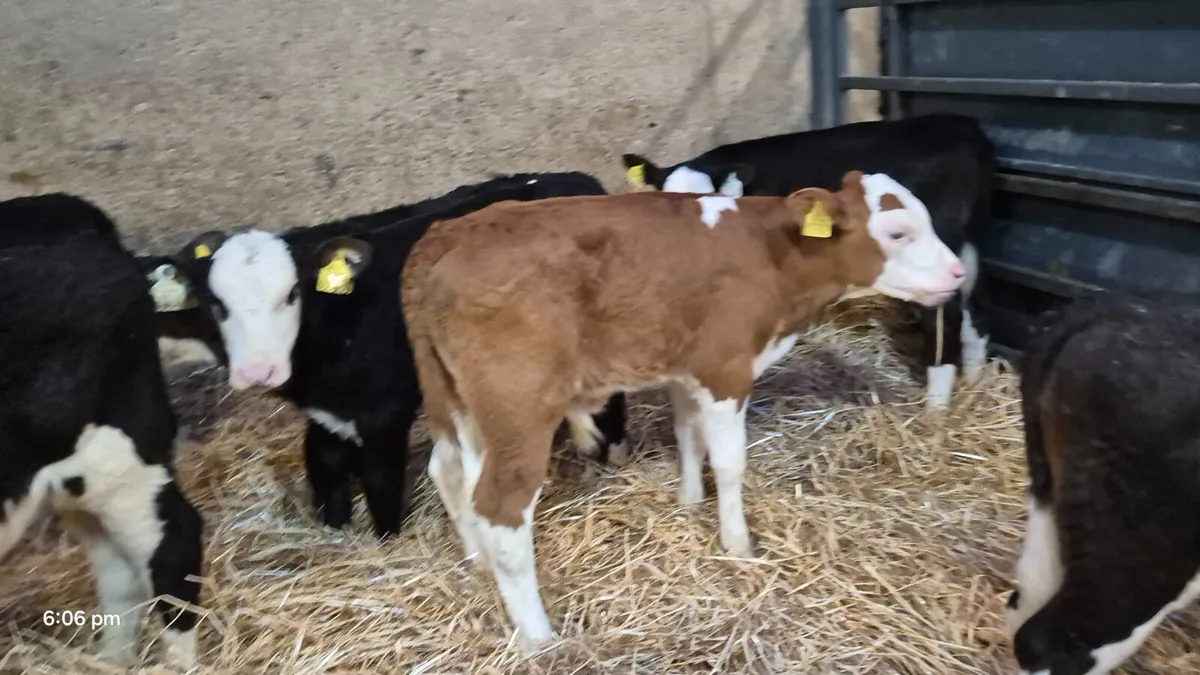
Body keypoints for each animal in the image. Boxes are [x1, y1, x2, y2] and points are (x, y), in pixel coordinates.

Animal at [146, 172, 630, 538]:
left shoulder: (385, 410)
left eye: (292, 295)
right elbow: (324, 461)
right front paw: (336, 528)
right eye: (216, 304)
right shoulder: (329, 411)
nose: (257, 371)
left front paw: (386, 538)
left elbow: (381, 479)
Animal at [396, 170, 966, 650]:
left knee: (449, 473)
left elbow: (689, 433)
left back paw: (476, 563)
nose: (960, 271)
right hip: (519, 407)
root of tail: (448, 233)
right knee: (499, 505)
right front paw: (738, 545)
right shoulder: (725, 368)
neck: (771, 251)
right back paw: (540, 638)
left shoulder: (687, 369)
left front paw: (690, 501)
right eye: (898, 232)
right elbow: (730, 462)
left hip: (460, 404)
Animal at [621, 113, 995, 409]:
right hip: (970, 245)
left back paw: (935, 409)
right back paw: (973, 380)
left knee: (944, 317)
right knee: (975, 306)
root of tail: (959, 124)